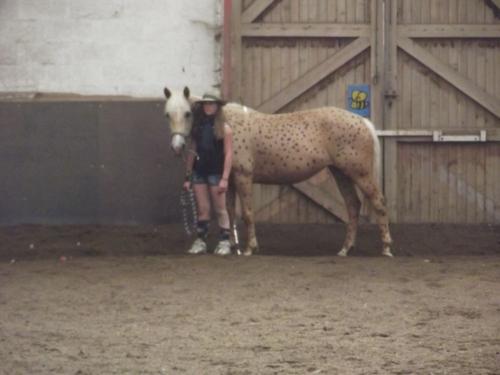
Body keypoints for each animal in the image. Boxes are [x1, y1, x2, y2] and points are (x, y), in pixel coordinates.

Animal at [164, 87, 394, 258]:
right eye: (167, 114)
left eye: (187, 113)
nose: (176, 146)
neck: (225, 124)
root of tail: (362, 121)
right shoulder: (228, 181)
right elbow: (229, 213)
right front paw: (230, 246)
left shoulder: (243, 177)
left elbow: (247, 213)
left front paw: (249, 248)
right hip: (341, 173)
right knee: (353, 206)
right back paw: (345, 249)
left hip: (360, 174)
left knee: (379, 203)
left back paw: (386, 248)